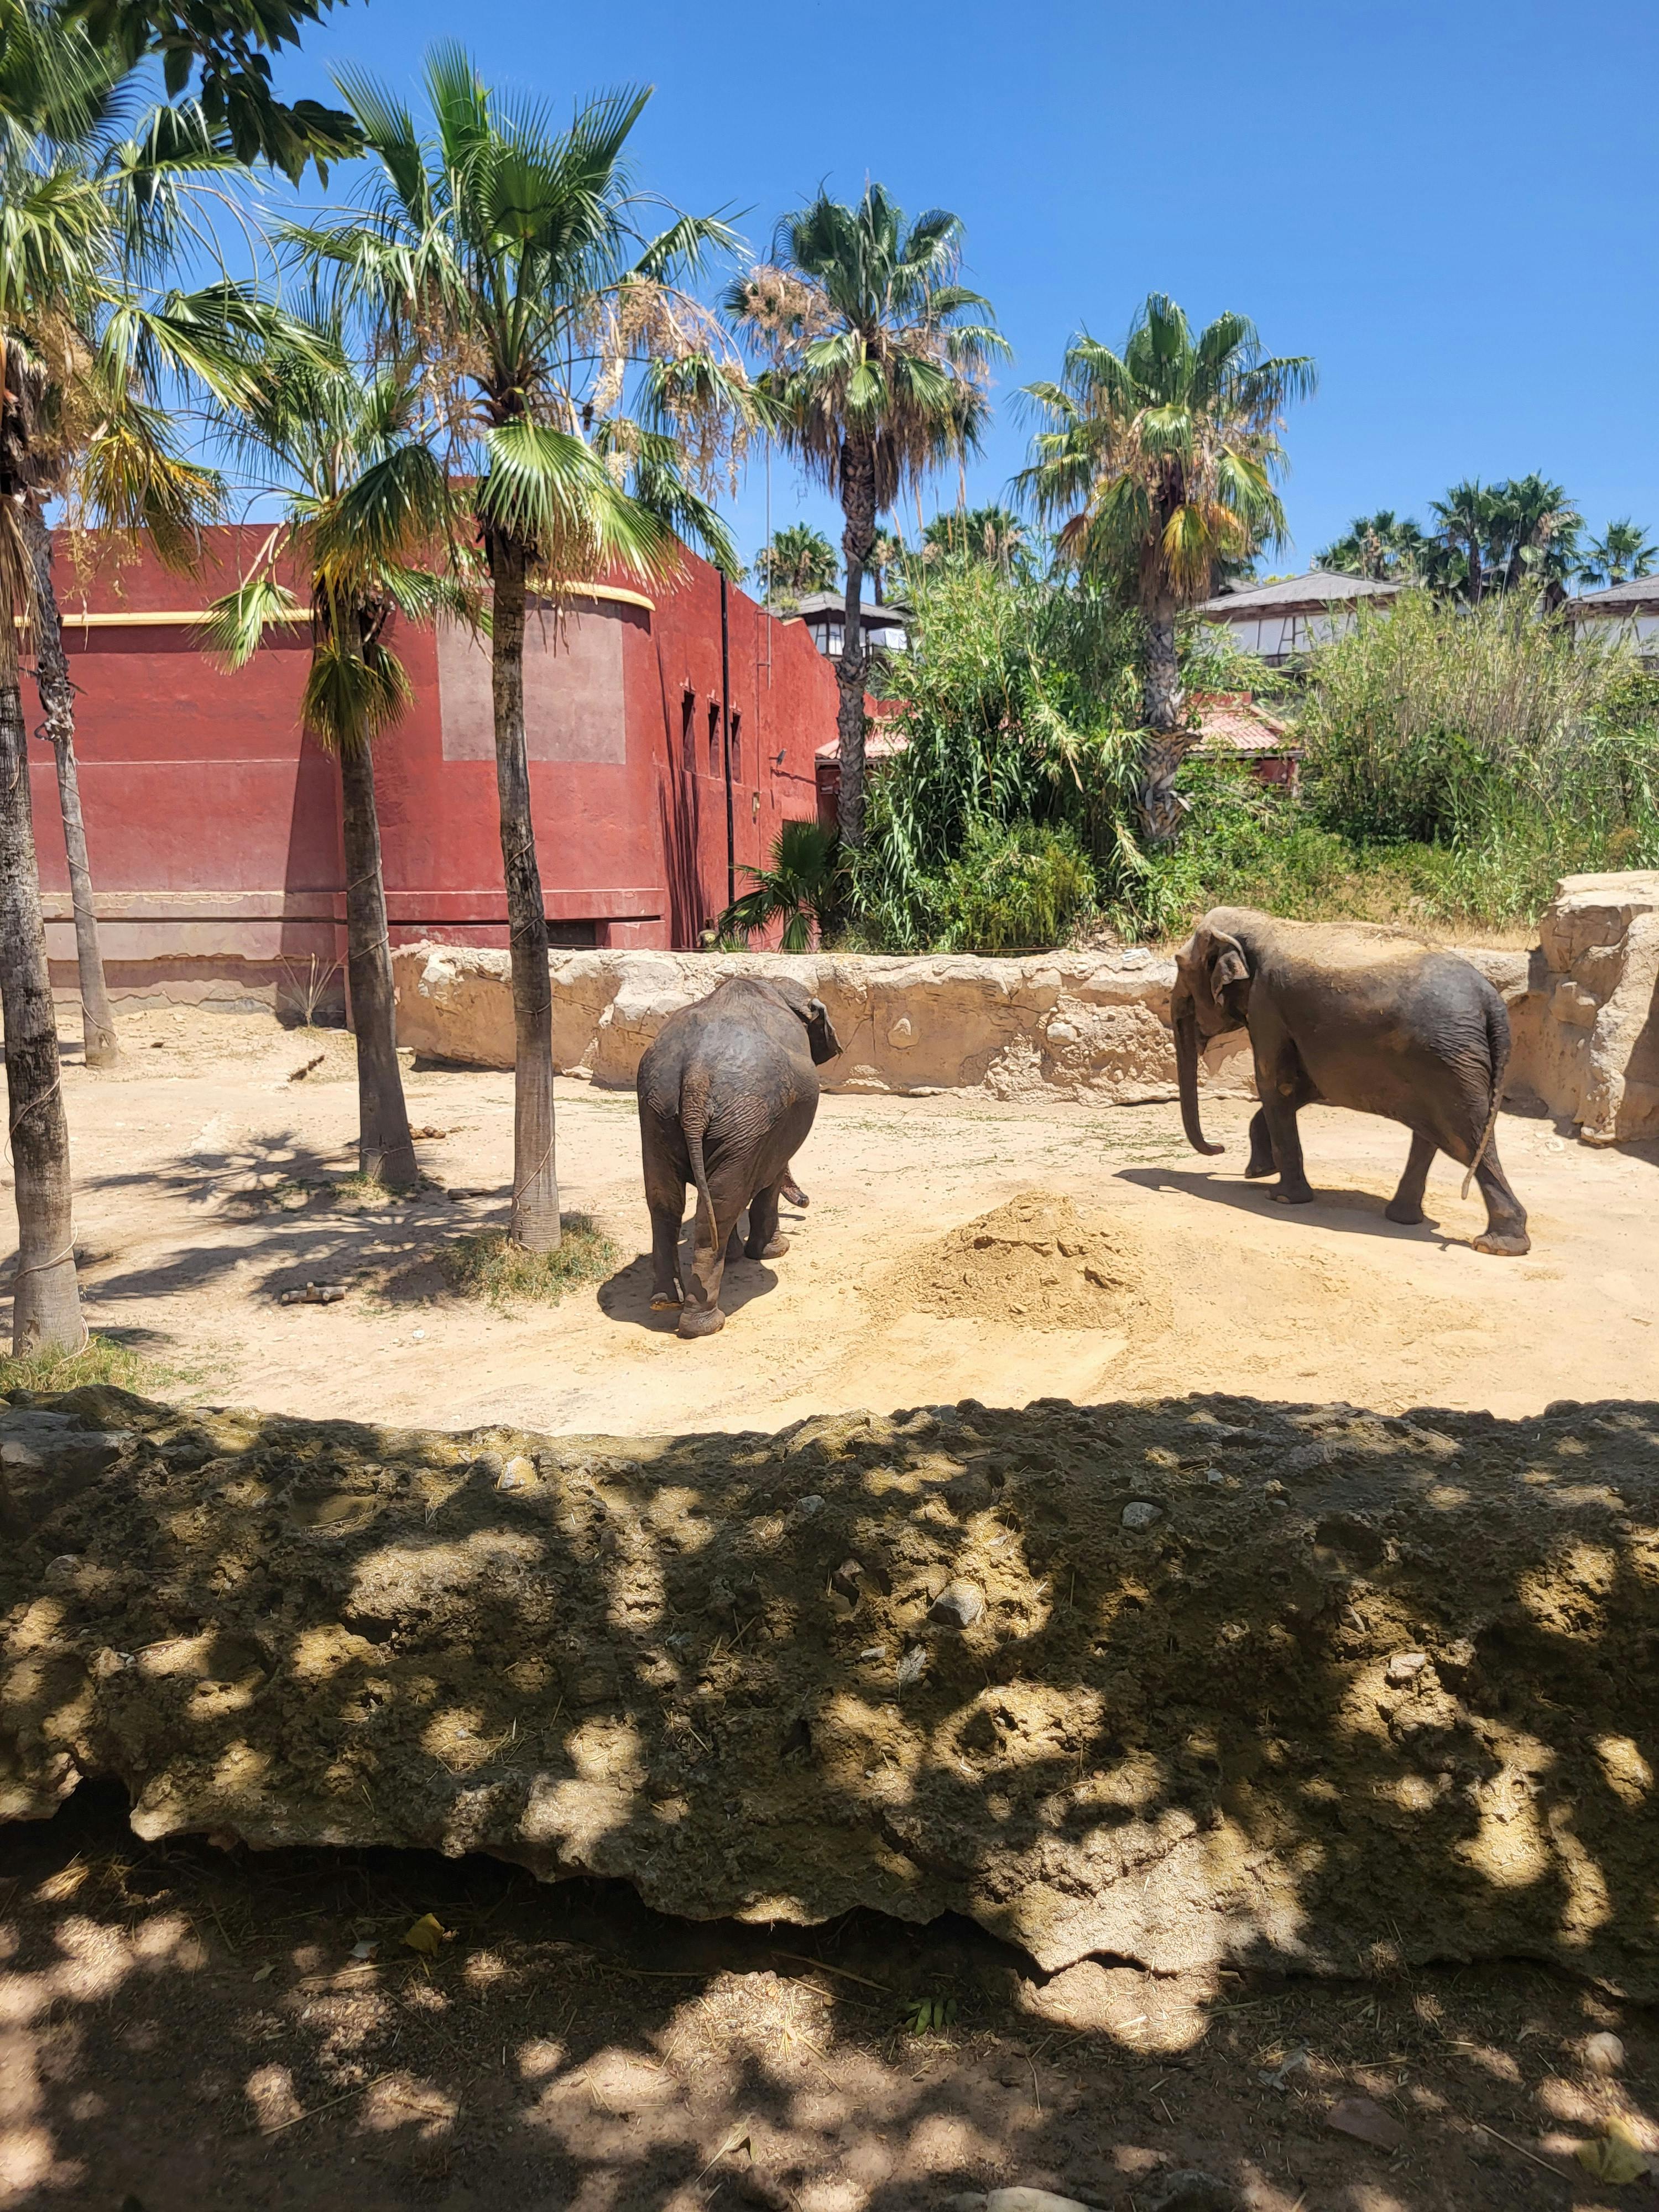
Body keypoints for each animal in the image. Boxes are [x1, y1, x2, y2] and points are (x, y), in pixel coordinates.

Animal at [636, 976, 842, 1337]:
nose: (806, 1203)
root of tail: (697, 1075)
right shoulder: (772, 1130)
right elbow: (770, 1178)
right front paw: (775, 1252)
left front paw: (737, 1257)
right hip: (746, 1118)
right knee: (722, 1202)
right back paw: (705, 1325)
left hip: (658, 1111)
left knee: (673, 1201)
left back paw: (664, 1302)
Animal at [1172, 907, 1530, 1256]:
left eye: (1179, 964)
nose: (1219, 1149)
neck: (1264, 923)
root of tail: (1492, 1002)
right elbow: (1304, 1084)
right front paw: (1259, 1172)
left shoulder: (1267, 1005)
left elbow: (1276, 1083)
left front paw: (1281, 1196)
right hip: (1444, 1060)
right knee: (1438, 1132)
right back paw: (1406, 1219)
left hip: (1449, 1059)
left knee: (1465, 1133)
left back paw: (1496, 1246)